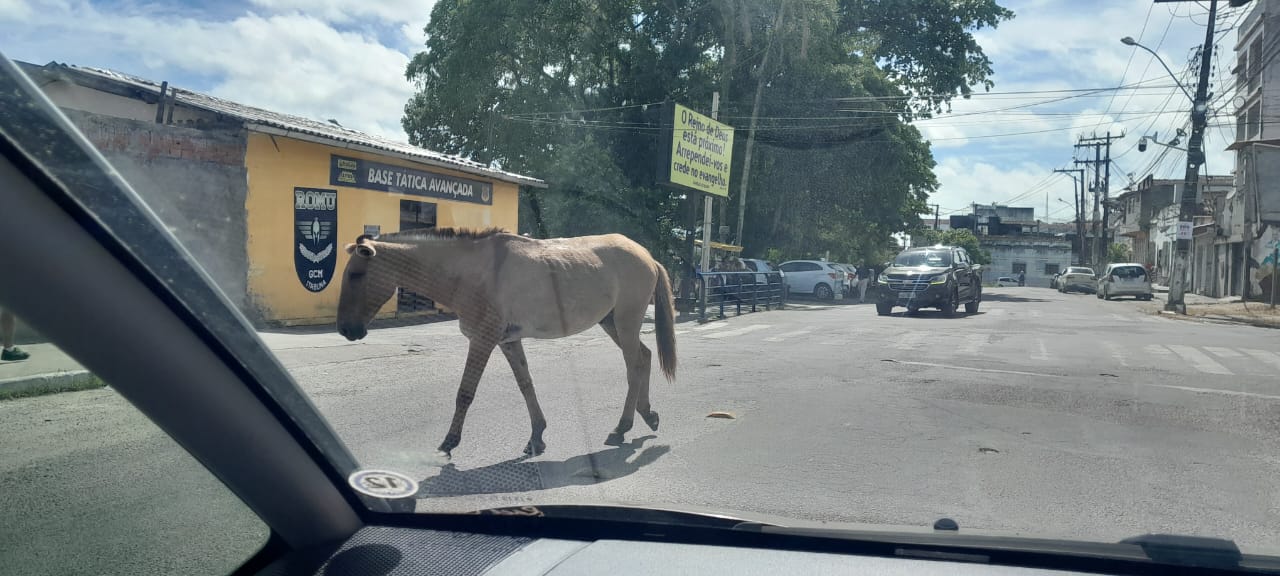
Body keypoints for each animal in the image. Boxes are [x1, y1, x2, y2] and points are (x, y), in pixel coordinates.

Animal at [337, 227, 680, 460]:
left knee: (634, 366)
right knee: (644, 358)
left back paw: (622, 427)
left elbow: (465, 393)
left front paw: (449, 442)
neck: (472, 272)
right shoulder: (508, 342)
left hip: (625, 322)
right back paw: (647, 415)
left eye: (355, 275)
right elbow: (525, 385)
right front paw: (537, 436)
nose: (345, 329)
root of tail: (648, 257)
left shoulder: (482, 340)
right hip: (611, 323)